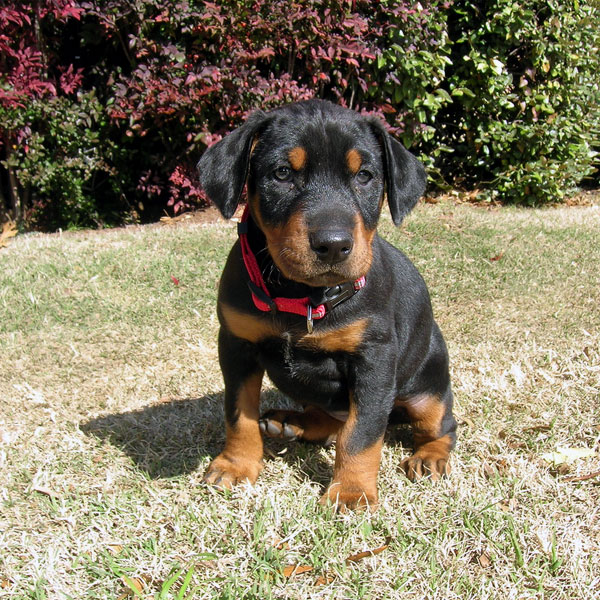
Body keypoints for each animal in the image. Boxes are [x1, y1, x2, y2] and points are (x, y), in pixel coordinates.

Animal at [197, 99, 454, 510]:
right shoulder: (236, 345)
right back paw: (292, 421)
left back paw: (429, 456)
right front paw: (236, 465)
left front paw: (350, 492)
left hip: (427, 388)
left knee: (439, 424)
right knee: (333, 419)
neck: (302, 296)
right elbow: (238, 412)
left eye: (364, 175)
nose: (333, 245)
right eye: (282, 173)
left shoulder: (374, 359)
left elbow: (362, 432)